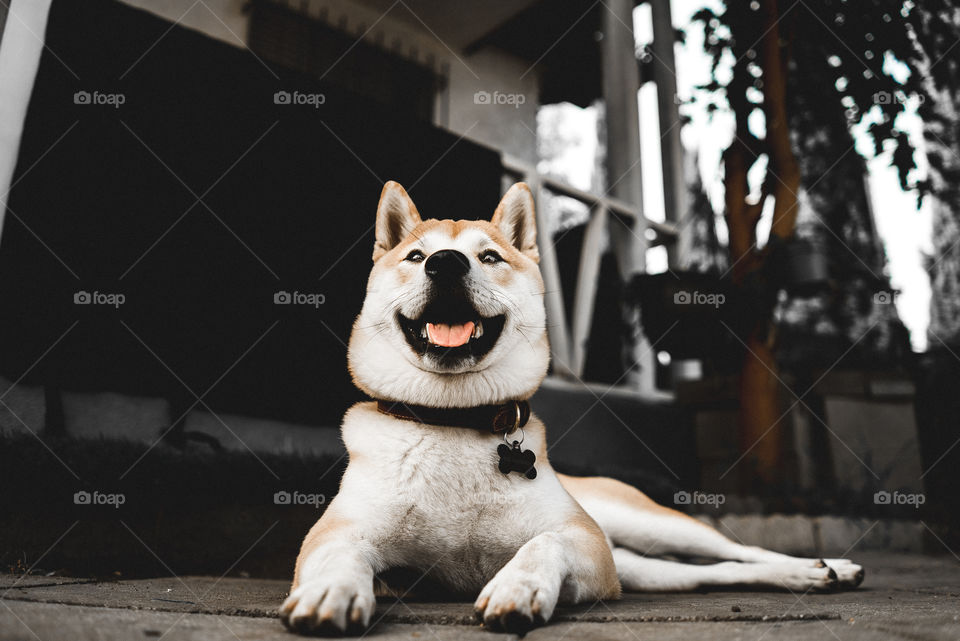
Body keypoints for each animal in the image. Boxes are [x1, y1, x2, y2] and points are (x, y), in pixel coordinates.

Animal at [276, 181, 864, 636]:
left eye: (489, 256)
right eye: (416, 257)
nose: (445, 264)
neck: (454, 420)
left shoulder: (586, 542)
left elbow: (544, 544)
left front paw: (519, 584)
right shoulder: (340, 533)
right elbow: (339, 555)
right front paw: (331, 590)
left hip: (642, 523)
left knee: (737, 551)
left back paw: (822, 567)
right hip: (638, 565)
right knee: (712, 572)